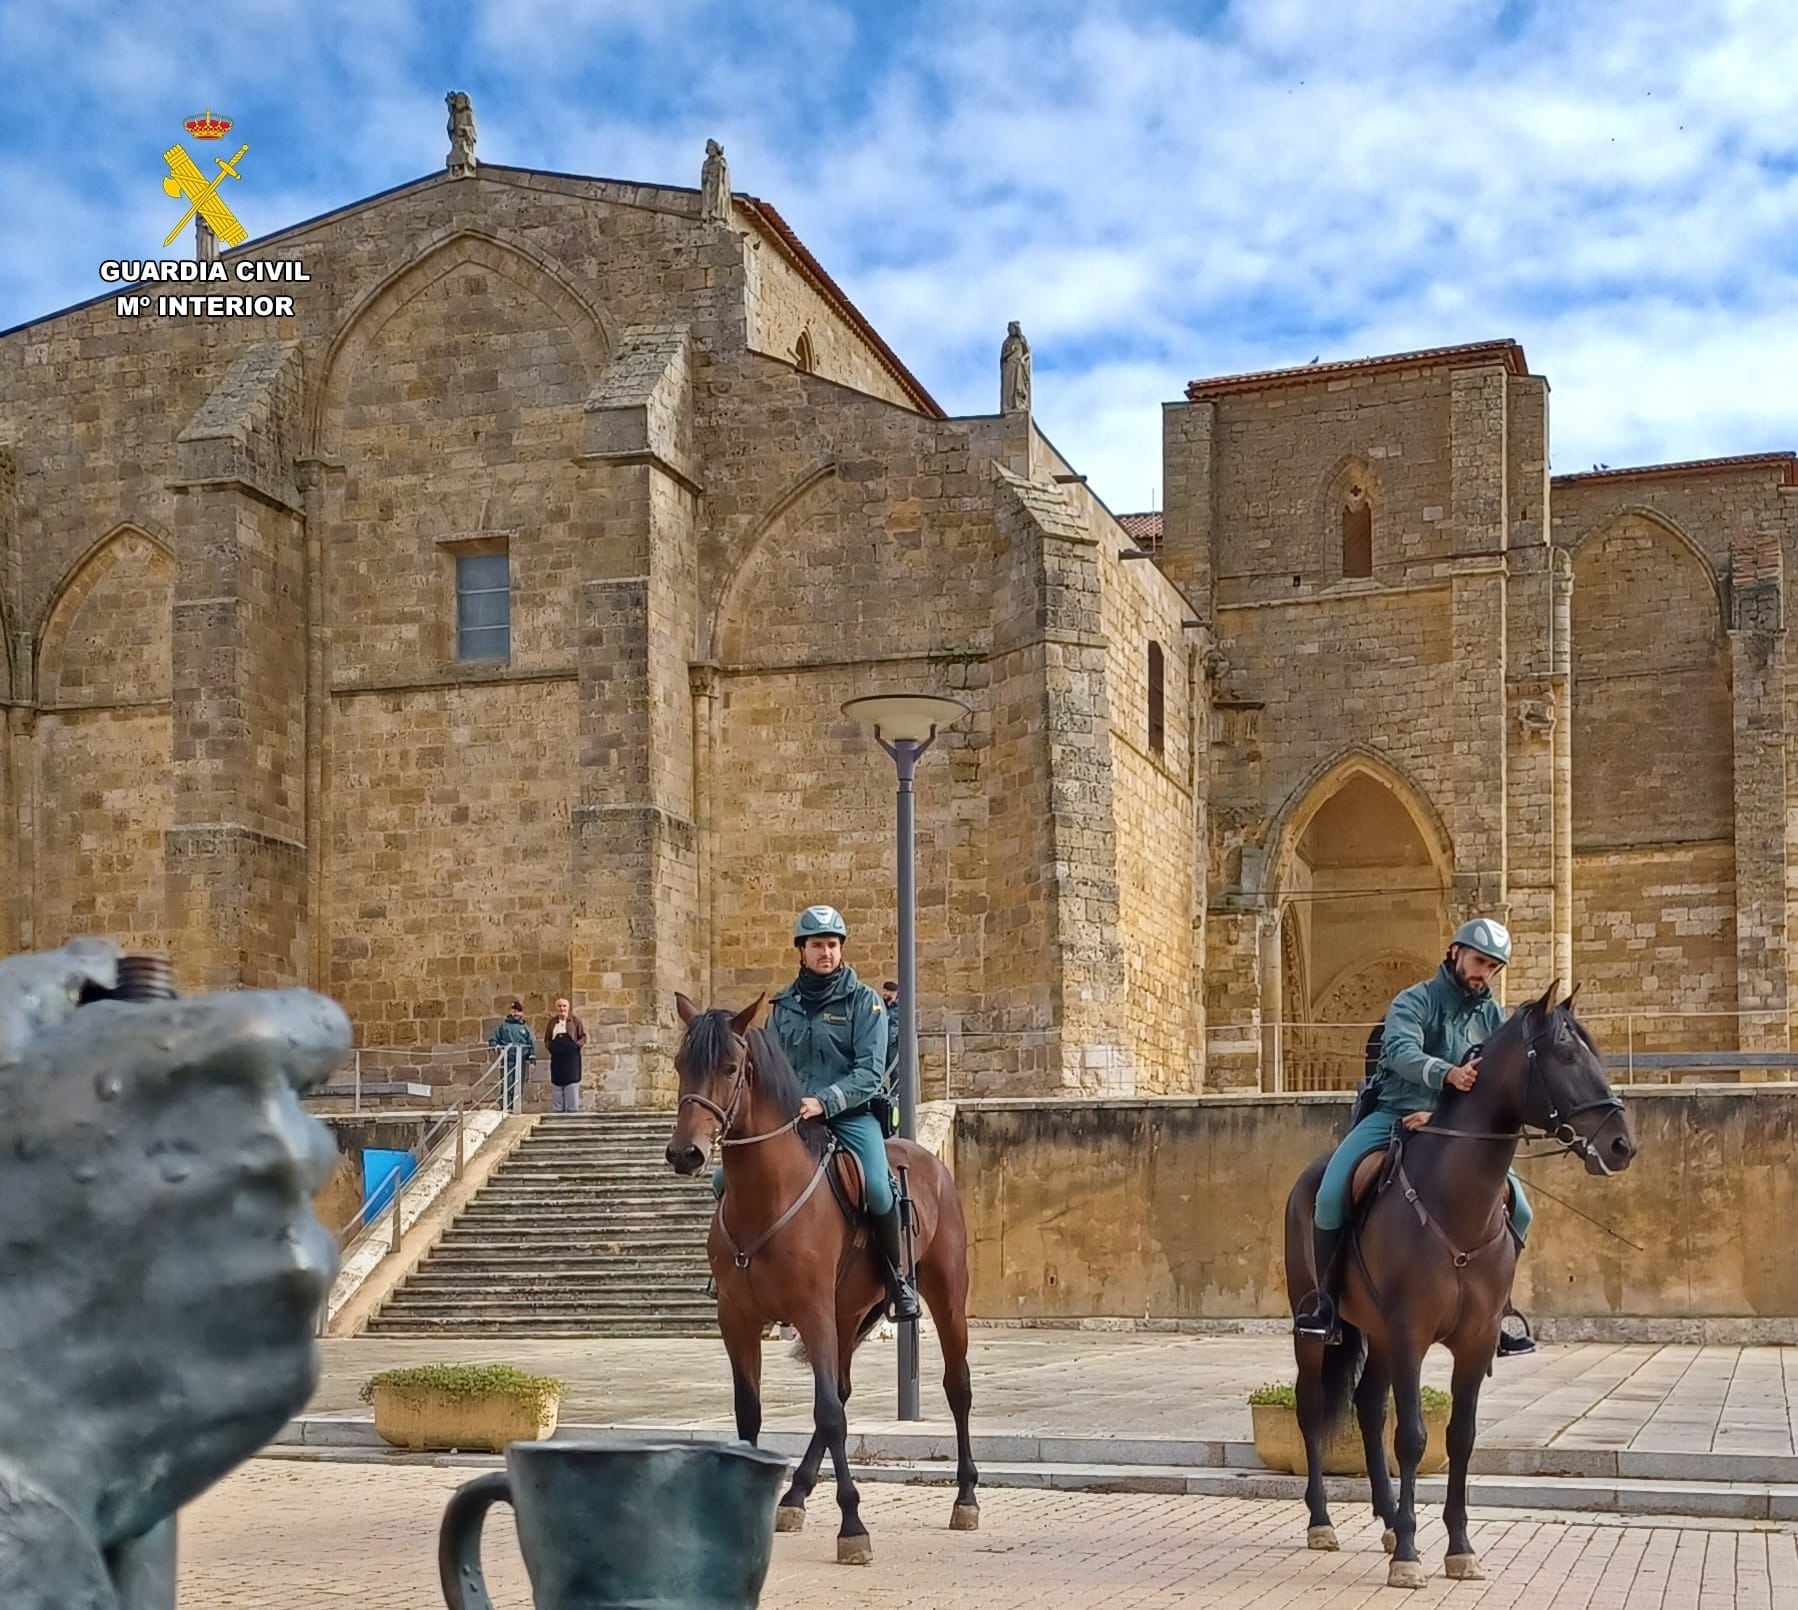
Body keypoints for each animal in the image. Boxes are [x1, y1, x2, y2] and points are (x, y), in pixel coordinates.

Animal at [661, 992, 978, 1561]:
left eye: (730, 1067)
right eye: (679, 1065)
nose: (684, 1152)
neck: (768, 1197)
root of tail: (926, 1159)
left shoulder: (812, 1314)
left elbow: (829, 1414)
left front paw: (852, 1525)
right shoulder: (738, 1320)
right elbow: (751, 1412)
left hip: (944, 1296)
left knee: (955, 1385)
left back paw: (965, 1497)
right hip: (847, 1314)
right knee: (843, 1391)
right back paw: (796, 1495)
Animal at [1287, 978, 1639, 1583]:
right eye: (1566, 1055)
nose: (1621, 1145)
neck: (1454, 1203)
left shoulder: (1474, 1340)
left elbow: (1461, 1437)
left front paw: (1458, 1547)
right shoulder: (1410, 1333)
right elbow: (1411, 1437)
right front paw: (1409, 1555)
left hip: (1377, 1334)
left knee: (1367, 1406)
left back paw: (1386, 1519)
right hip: (1315, 1331)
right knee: (1312, 1407)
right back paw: (1322, 1522)